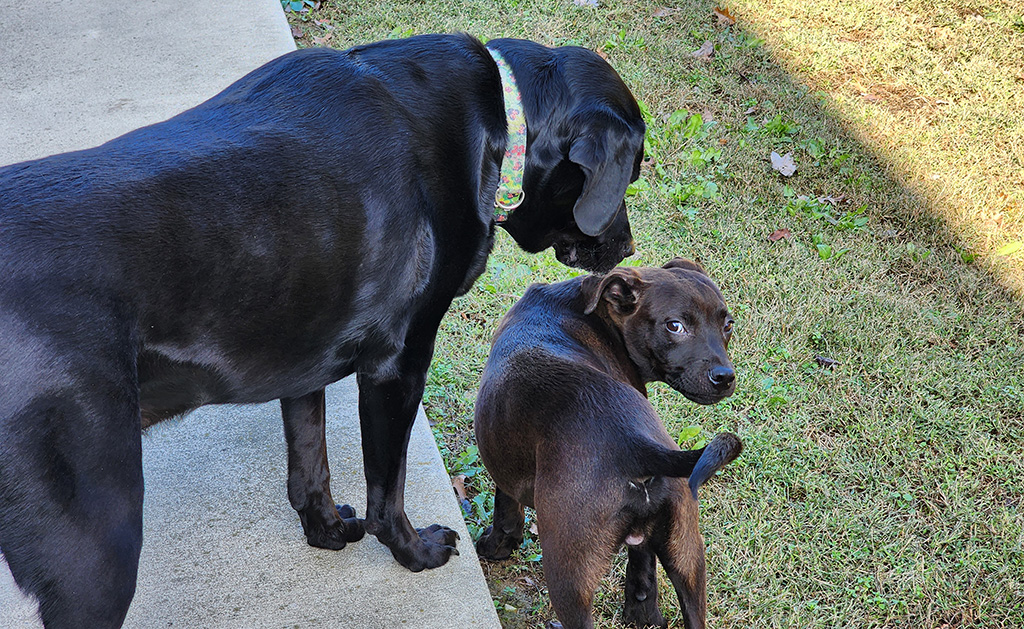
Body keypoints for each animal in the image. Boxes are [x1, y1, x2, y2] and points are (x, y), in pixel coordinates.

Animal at [0, 35, 638, 629]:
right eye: (631, 177)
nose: (628, 249)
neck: (497, 118)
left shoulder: (302, 357)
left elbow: (310, 463)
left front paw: (327, 532)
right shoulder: (398, 366)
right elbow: (387, 492)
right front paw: (415, 553)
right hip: (96, 542)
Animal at [471, 259, 745, 626]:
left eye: (727, 325)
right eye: (675, 326)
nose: (725, 378)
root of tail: (634, 442)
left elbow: (504, 507)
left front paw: (495, 545)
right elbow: (642, 557)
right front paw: (643, 611)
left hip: (568, 576)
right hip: (689, 555)